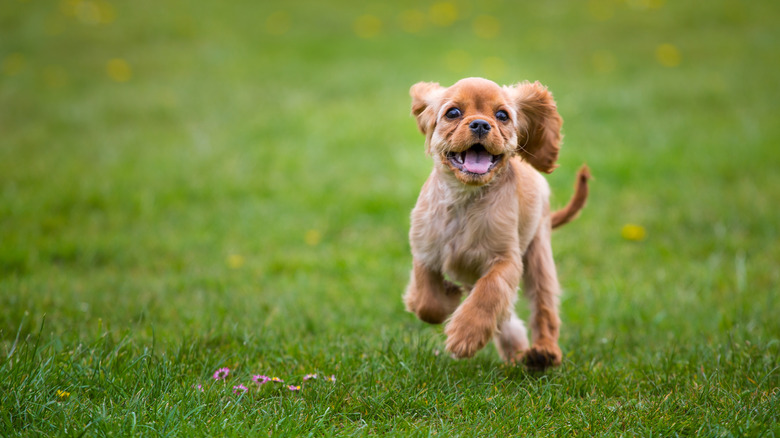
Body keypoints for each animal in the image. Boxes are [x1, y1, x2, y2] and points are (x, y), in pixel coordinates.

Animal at [406, 77, 588, 368]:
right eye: (453, 113)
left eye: (502, 115)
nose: (481, 124)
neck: (465, 198)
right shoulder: (425, 250)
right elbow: (426, 301)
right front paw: (448, 297)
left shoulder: (506, 259)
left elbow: (489, 292)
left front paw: (465, 335)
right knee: (507, 318)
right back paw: (517, 354)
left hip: (539, 254)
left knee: (543, 308)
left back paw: (543, 353)